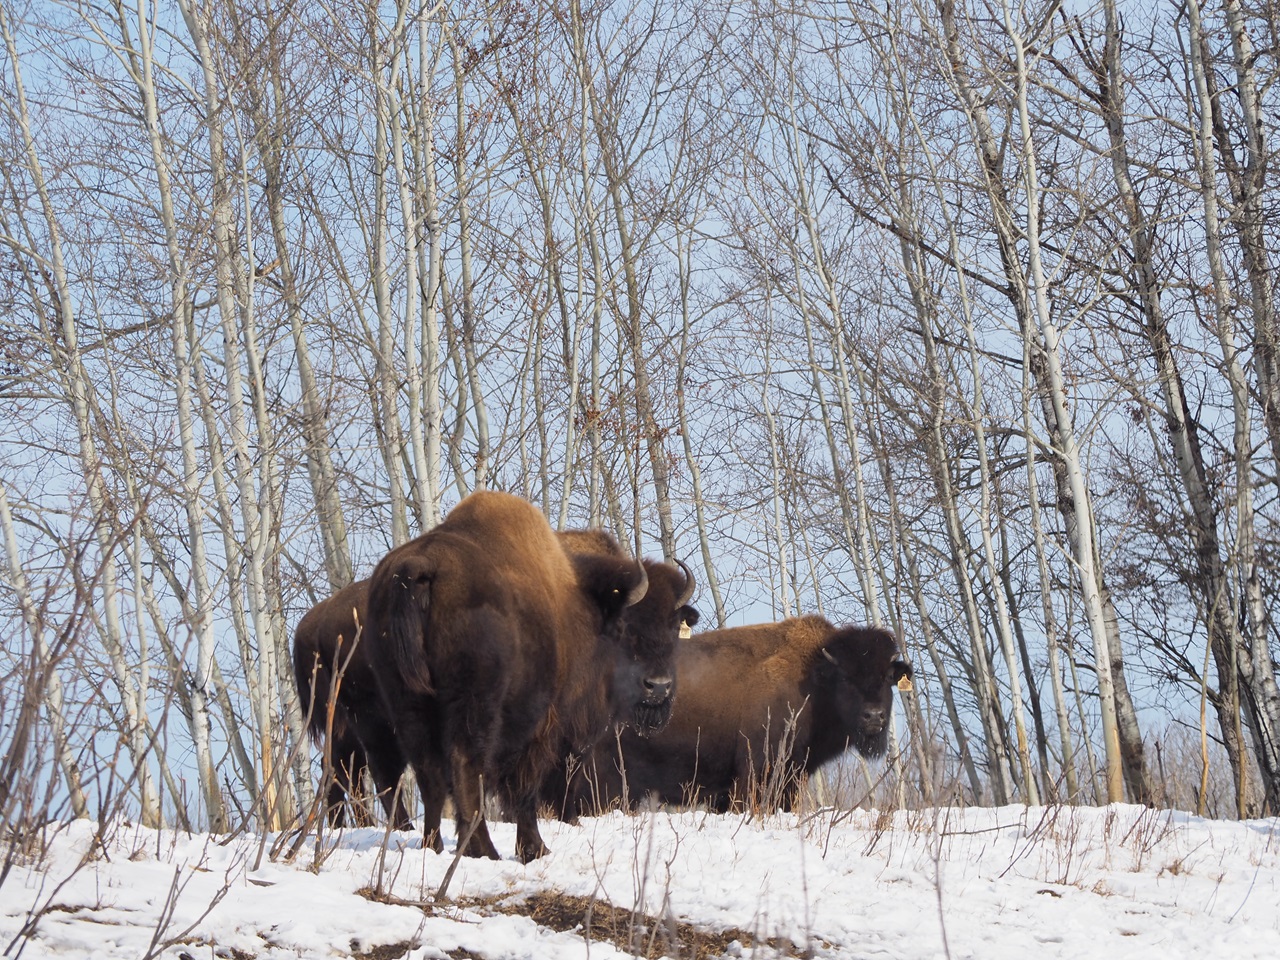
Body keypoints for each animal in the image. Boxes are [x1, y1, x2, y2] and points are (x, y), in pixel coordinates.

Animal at [557, 615, 912, 816]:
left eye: (886, 677)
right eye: (847, 678)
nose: (874, 717)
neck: (814, 675)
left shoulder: (792, 776)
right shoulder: (755, 770)